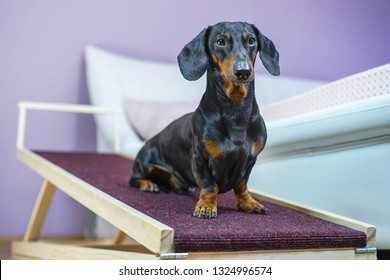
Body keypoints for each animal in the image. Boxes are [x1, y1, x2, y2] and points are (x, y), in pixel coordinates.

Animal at [131, 21, 280, 219]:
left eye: (251, 40)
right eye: (220, 41)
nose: (243, 72)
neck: (235, 111)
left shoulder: (250, 160)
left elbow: (242, 185)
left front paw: (248, 203)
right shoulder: (199, 157)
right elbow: (209, 185)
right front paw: (207, 206)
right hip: (146, 161)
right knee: (135, 178)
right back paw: (148, 184)